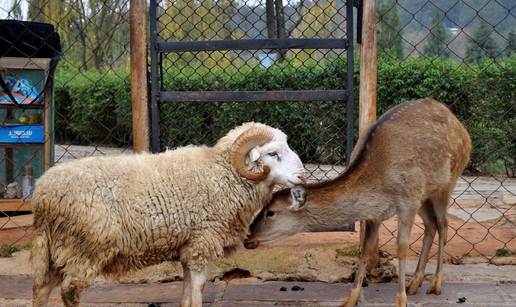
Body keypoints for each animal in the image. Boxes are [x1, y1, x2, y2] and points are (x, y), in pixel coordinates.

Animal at [245, 98, 472, 307]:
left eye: (271, 212)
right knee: (430, 225)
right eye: (262, 206)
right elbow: (365, 249)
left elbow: (402, 248)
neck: (379, 184)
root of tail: (459, 124)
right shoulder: (376, 214)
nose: (248, 238)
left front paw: (401, 301)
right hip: (425, 195)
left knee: (443, 224)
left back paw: (436, 284)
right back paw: (414, 283)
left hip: (447, 181)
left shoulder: (408, 200)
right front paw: (350, 299)